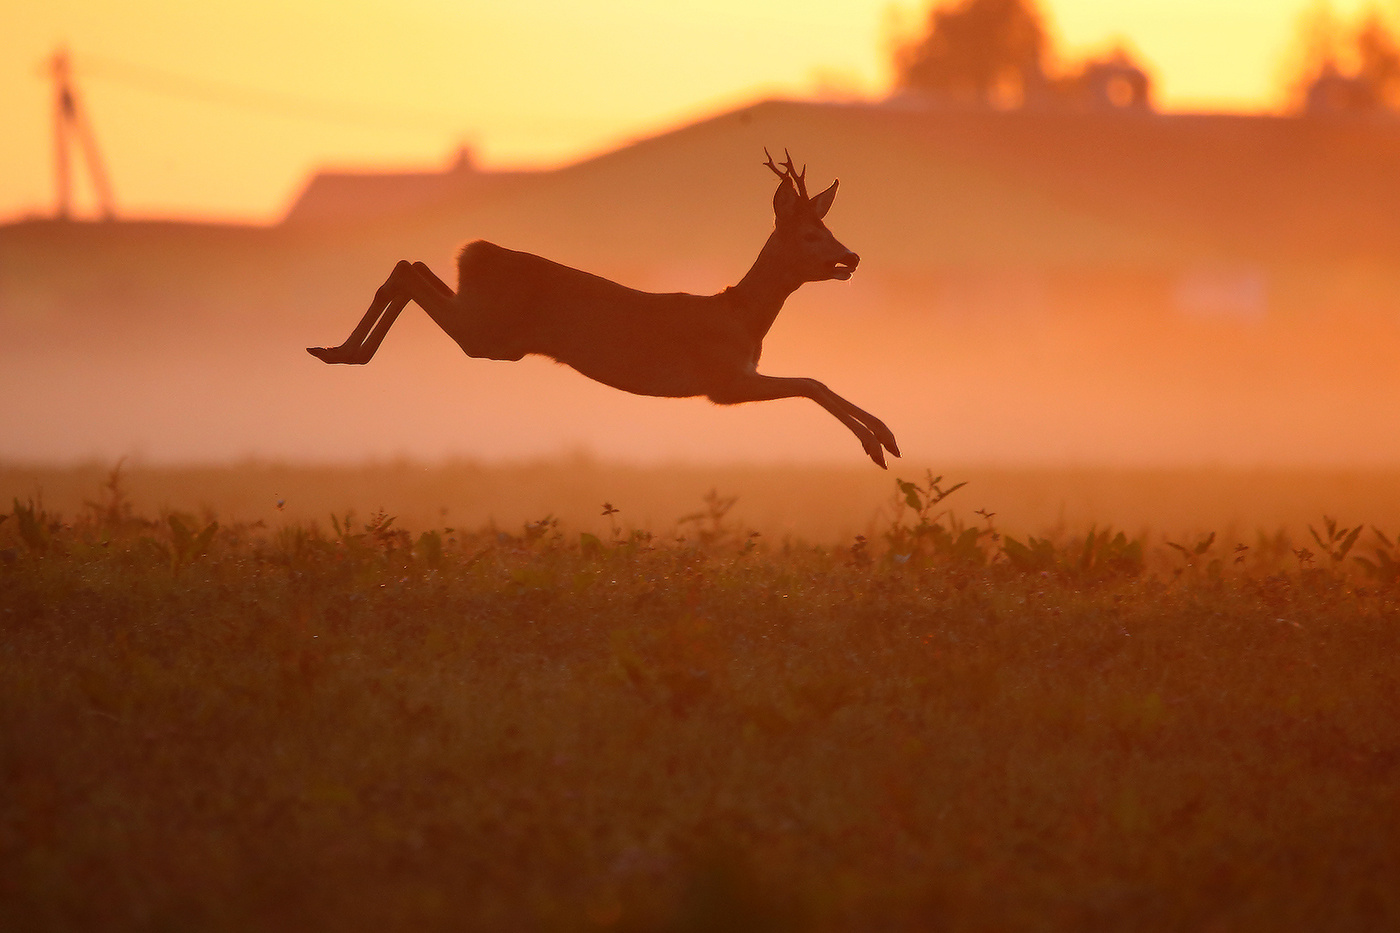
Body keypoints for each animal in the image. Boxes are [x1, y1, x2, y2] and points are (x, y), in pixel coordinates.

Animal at [308, 149, 900, 467]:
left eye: (829, 229)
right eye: (809, 235)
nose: (851, 258)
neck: (742, 315)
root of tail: (472, 251)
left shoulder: (736, 377)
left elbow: (814, 382)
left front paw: (886, 438)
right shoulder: (724, 381)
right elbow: (812, 383)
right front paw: (880, 442)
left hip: (484, 322)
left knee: (411, 264)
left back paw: (337, 350)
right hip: (490, 336)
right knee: (408, 272)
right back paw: (341, 353)